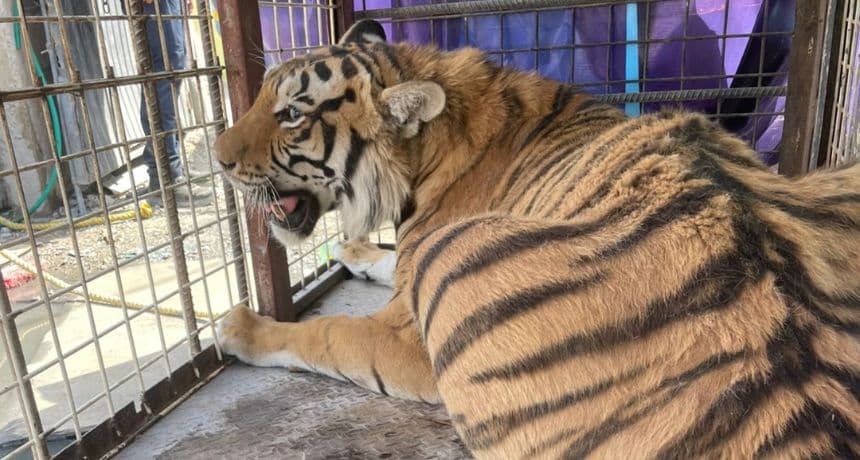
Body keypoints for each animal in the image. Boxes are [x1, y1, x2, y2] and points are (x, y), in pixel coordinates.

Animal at [214, 19, 860, 459]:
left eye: (292, 113)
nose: (217, 159)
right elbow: (386, 263)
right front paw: (353, 250)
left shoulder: (409, 333)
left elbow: (324, 333)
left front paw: (241, 327)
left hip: (458, 258)